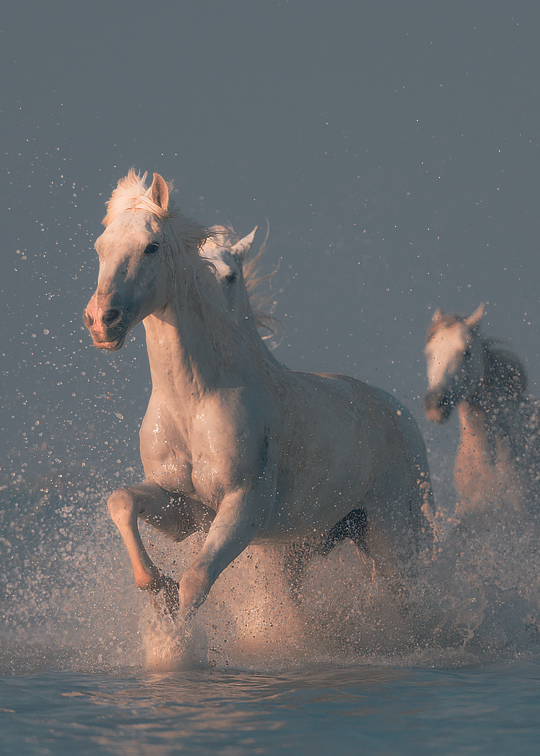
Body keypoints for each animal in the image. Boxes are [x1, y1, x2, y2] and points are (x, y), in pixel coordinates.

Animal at [83, 169, 436, 620]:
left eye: (151, 246)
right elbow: (122, 501)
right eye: (100, 248)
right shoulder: (183, 509)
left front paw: (177, 628)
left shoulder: (243, 509)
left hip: (391, 532)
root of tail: (399, 413)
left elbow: (196, 581)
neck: (194, 401)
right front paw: (156, 586)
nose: (101, 321)